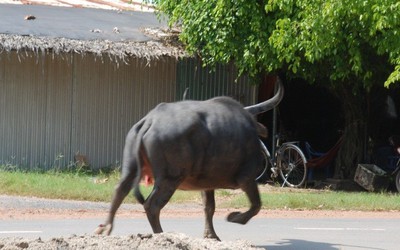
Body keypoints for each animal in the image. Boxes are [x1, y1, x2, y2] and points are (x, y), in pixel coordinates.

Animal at [95, 78, 282, 240]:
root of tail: (150, 121)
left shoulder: (207, 184)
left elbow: (209, 207)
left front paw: (211, 235)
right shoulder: (247, 177)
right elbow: (256, 204)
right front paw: (234, 217)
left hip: (131, 168)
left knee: (120, 190)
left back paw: (105, 228)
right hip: (170, 178)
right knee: (151, 205)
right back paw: (162, 234)